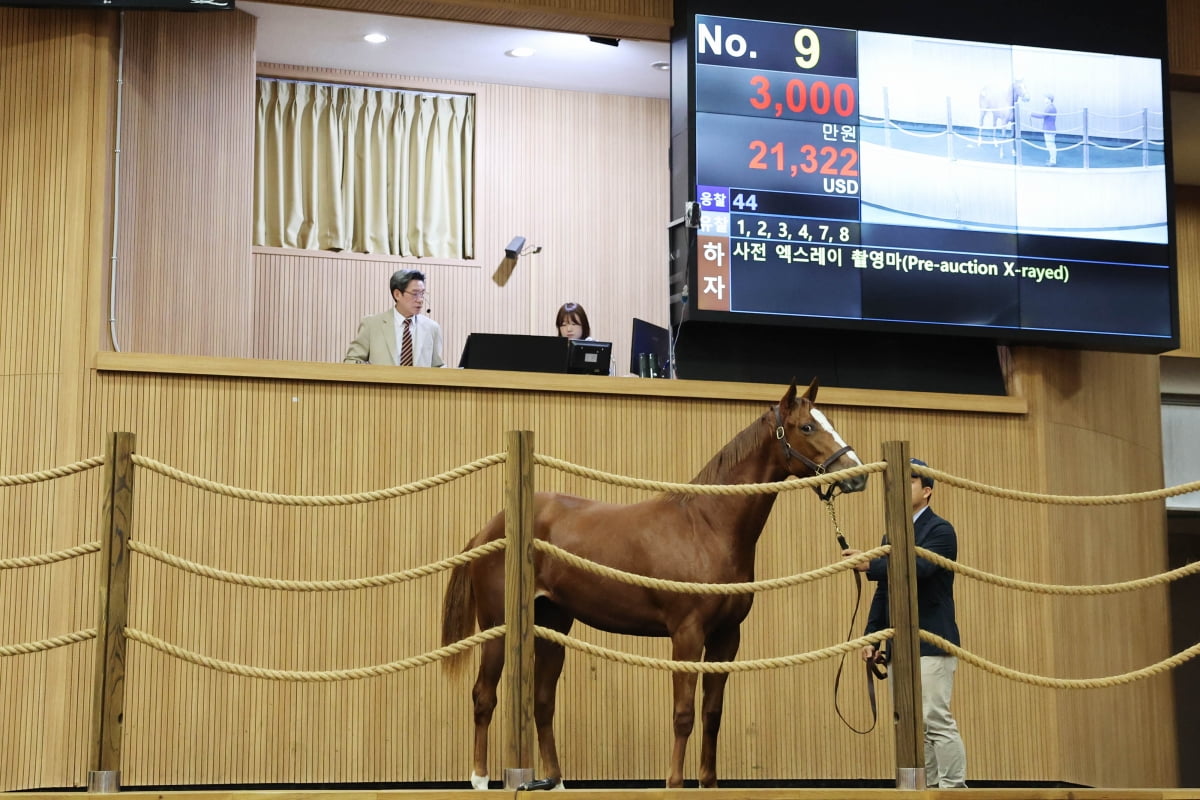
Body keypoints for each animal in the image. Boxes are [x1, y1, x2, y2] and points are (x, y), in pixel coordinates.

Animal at [441, 381, 864, 786]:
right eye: (807, 427)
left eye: (827, 421)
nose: (856, 473)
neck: (707, 526)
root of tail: (492, 528)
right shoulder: (687, 635)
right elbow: (684, 713)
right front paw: (674, 783)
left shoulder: (727, 637)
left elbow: (712, 713)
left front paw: (708, 783)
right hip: (498, 627)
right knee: (484, 697)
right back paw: (480, 780)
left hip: (552, 626)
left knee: (543, 704)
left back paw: (556, 783)